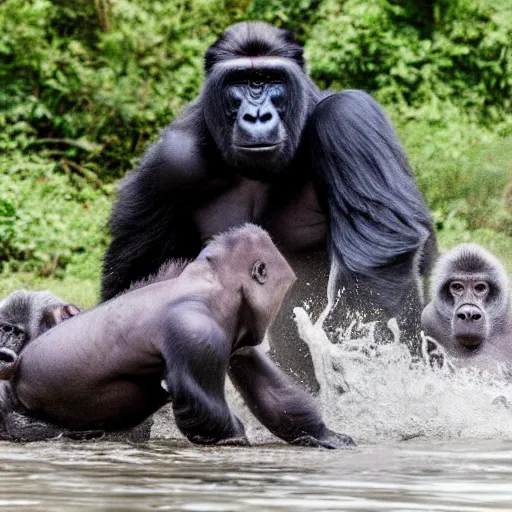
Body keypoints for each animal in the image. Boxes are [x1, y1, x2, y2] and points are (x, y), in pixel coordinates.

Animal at [13, 225, 356, 448]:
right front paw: (237, 439)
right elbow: (201, 407)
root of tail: (16, 369)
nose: (266, 323)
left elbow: (272, 395)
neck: (209, 286)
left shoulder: (239, 336)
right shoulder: (197, 331)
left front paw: (323, 434)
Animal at [101, 19, 436, 388]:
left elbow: (375, 276)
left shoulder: (347, 116)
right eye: (240, 81)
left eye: (272, 79)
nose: (258, 116)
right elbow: (132, 280)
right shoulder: (168, 163)